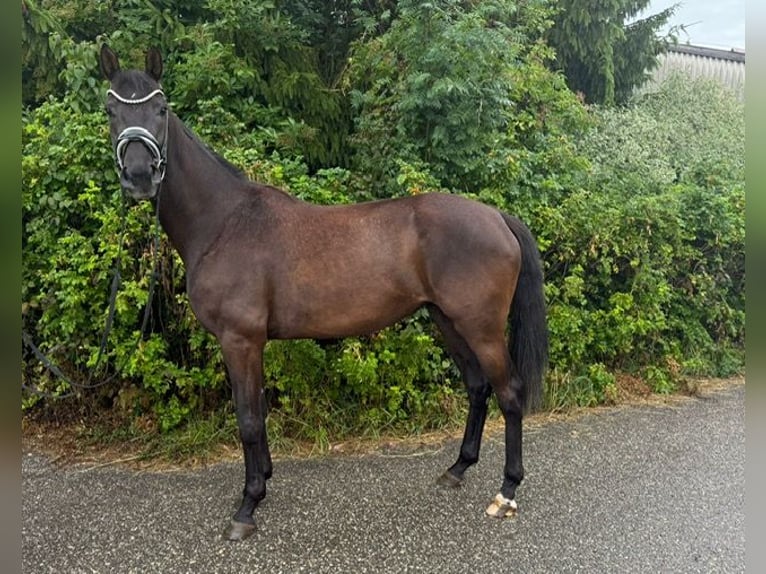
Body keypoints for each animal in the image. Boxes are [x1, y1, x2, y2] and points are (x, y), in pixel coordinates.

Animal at [98, 45, 548, 541]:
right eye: (111, 110)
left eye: (160, 109)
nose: (139, 176)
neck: (224, 222)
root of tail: (496, 216)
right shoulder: (250, 344)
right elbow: (258, 412)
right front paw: (264, 480)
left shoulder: (240, 340)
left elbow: (248, 420)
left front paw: (247, 507)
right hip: (446, 320)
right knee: (477, 387)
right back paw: (457, 469)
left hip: (480, 326)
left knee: (509, 393)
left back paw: (506, 492)